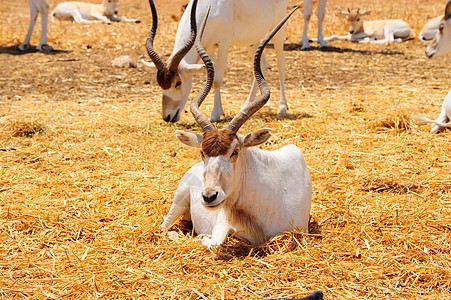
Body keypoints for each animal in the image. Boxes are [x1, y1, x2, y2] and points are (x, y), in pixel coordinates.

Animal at [145, 0, 294, 123]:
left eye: (178, 83)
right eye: (160, 84)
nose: (167, 116)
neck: (209, 6)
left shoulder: (224, 43)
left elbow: (217, 80)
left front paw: (214, 115)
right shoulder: (208, 47)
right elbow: (214, 74)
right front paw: (221, 111)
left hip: (278, 28)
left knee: (280, 62)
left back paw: (282, 107)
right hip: (251, 39)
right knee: (262, 62)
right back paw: (247, 105)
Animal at [161, 5, 312, 247]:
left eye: (235, 152)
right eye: (202, 153)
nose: (209, 196)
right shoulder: (222, 222)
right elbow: (213, 240)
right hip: (179, 199)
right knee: (164, 227)